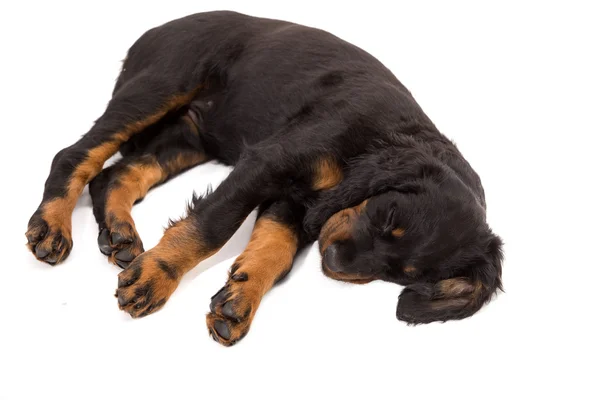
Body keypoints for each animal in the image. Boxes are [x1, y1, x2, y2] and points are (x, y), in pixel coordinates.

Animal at [24, 10, 502, 346]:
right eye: (387, 216)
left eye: (402, 275)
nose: (333, 262)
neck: (382, 134)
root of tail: (155, 28)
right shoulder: (270, 161)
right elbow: (213, 225)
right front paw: (156, 276)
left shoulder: (298, 202)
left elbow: (275, 249)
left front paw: (239, 301)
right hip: (159, 86)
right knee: (76, 155)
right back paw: (52, 227)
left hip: (186, 139)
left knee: (116, 174)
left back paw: (120, 234)